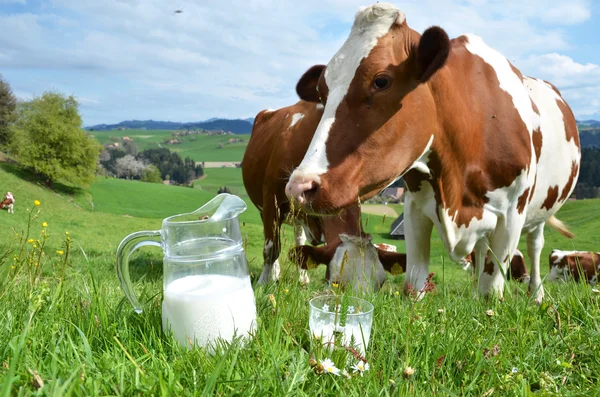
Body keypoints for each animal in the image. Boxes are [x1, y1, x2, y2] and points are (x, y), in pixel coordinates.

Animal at [241, 99, 406, 290]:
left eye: (380, 283)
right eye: (336, 282)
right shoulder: (271, 200)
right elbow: (271, 248)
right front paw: (263, 282)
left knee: (299, 241)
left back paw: (302, 277)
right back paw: (274, 274)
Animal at [286, 2, 580, 304]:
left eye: (381, 81)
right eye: (322, 91)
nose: (299, 187)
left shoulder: (512, 214)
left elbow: (491, 289)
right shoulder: (415, 205)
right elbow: (414, 283)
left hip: (540, 211)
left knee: (535, 245)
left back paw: (537, 294)